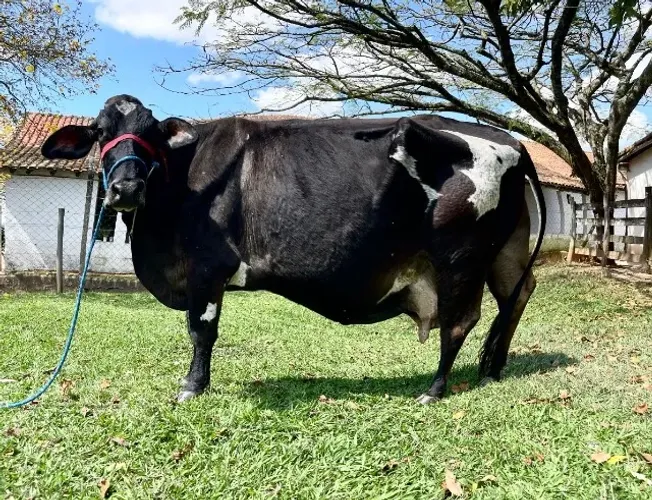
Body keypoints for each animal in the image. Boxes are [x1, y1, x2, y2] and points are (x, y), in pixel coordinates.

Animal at [41, 94, 546, 404]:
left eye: (150, 132)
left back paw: (435, 390)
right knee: (518, 295)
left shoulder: (207, 268)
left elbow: (201, 331)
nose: (126, 188)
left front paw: (192, 386)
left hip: (459, 257)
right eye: (100, 131)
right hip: (504, 253)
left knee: (460, 322)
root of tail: (510, 140)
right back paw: (491, 371)